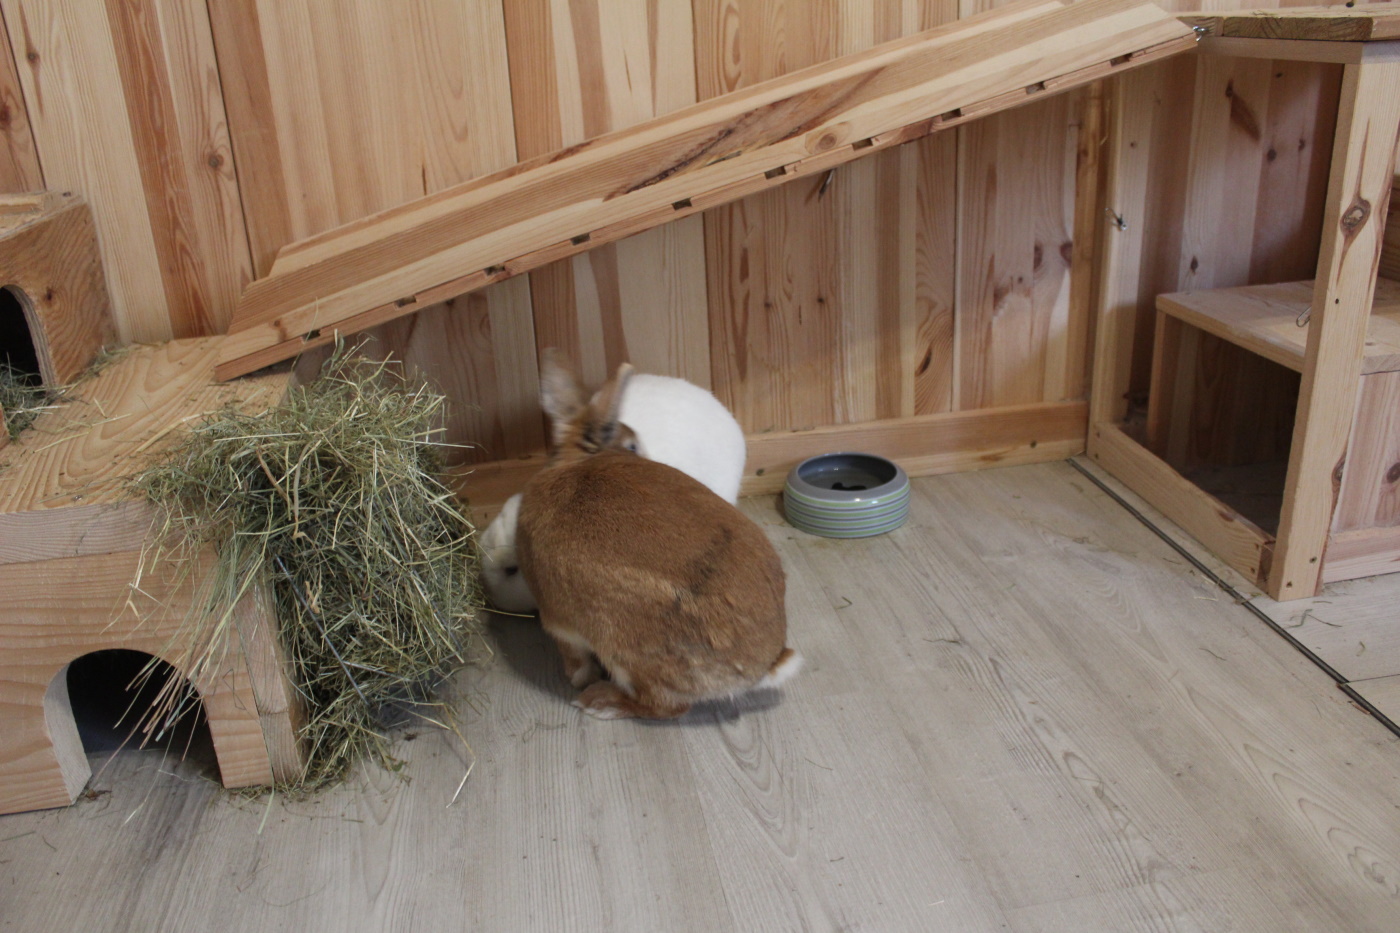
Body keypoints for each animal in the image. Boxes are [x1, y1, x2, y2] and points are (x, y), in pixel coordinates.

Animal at [514, 351, 800, 720]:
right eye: (633, 445)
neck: (575, 461)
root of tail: (765, 664)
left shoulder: (558, 622)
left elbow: (573, 656)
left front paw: (577, 678)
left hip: (625, 648)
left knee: (665, 706)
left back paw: (599, 702)